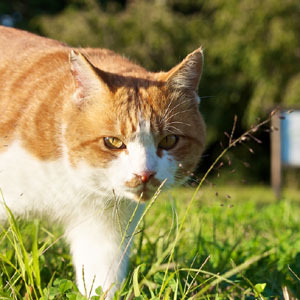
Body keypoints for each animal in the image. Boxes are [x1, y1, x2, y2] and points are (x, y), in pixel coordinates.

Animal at [0, 25, 205, 298]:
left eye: (169, 140)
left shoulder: (102, 230)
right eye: (113, 142)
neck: (70, 174)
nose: (145, 174)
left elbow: (101, 282)